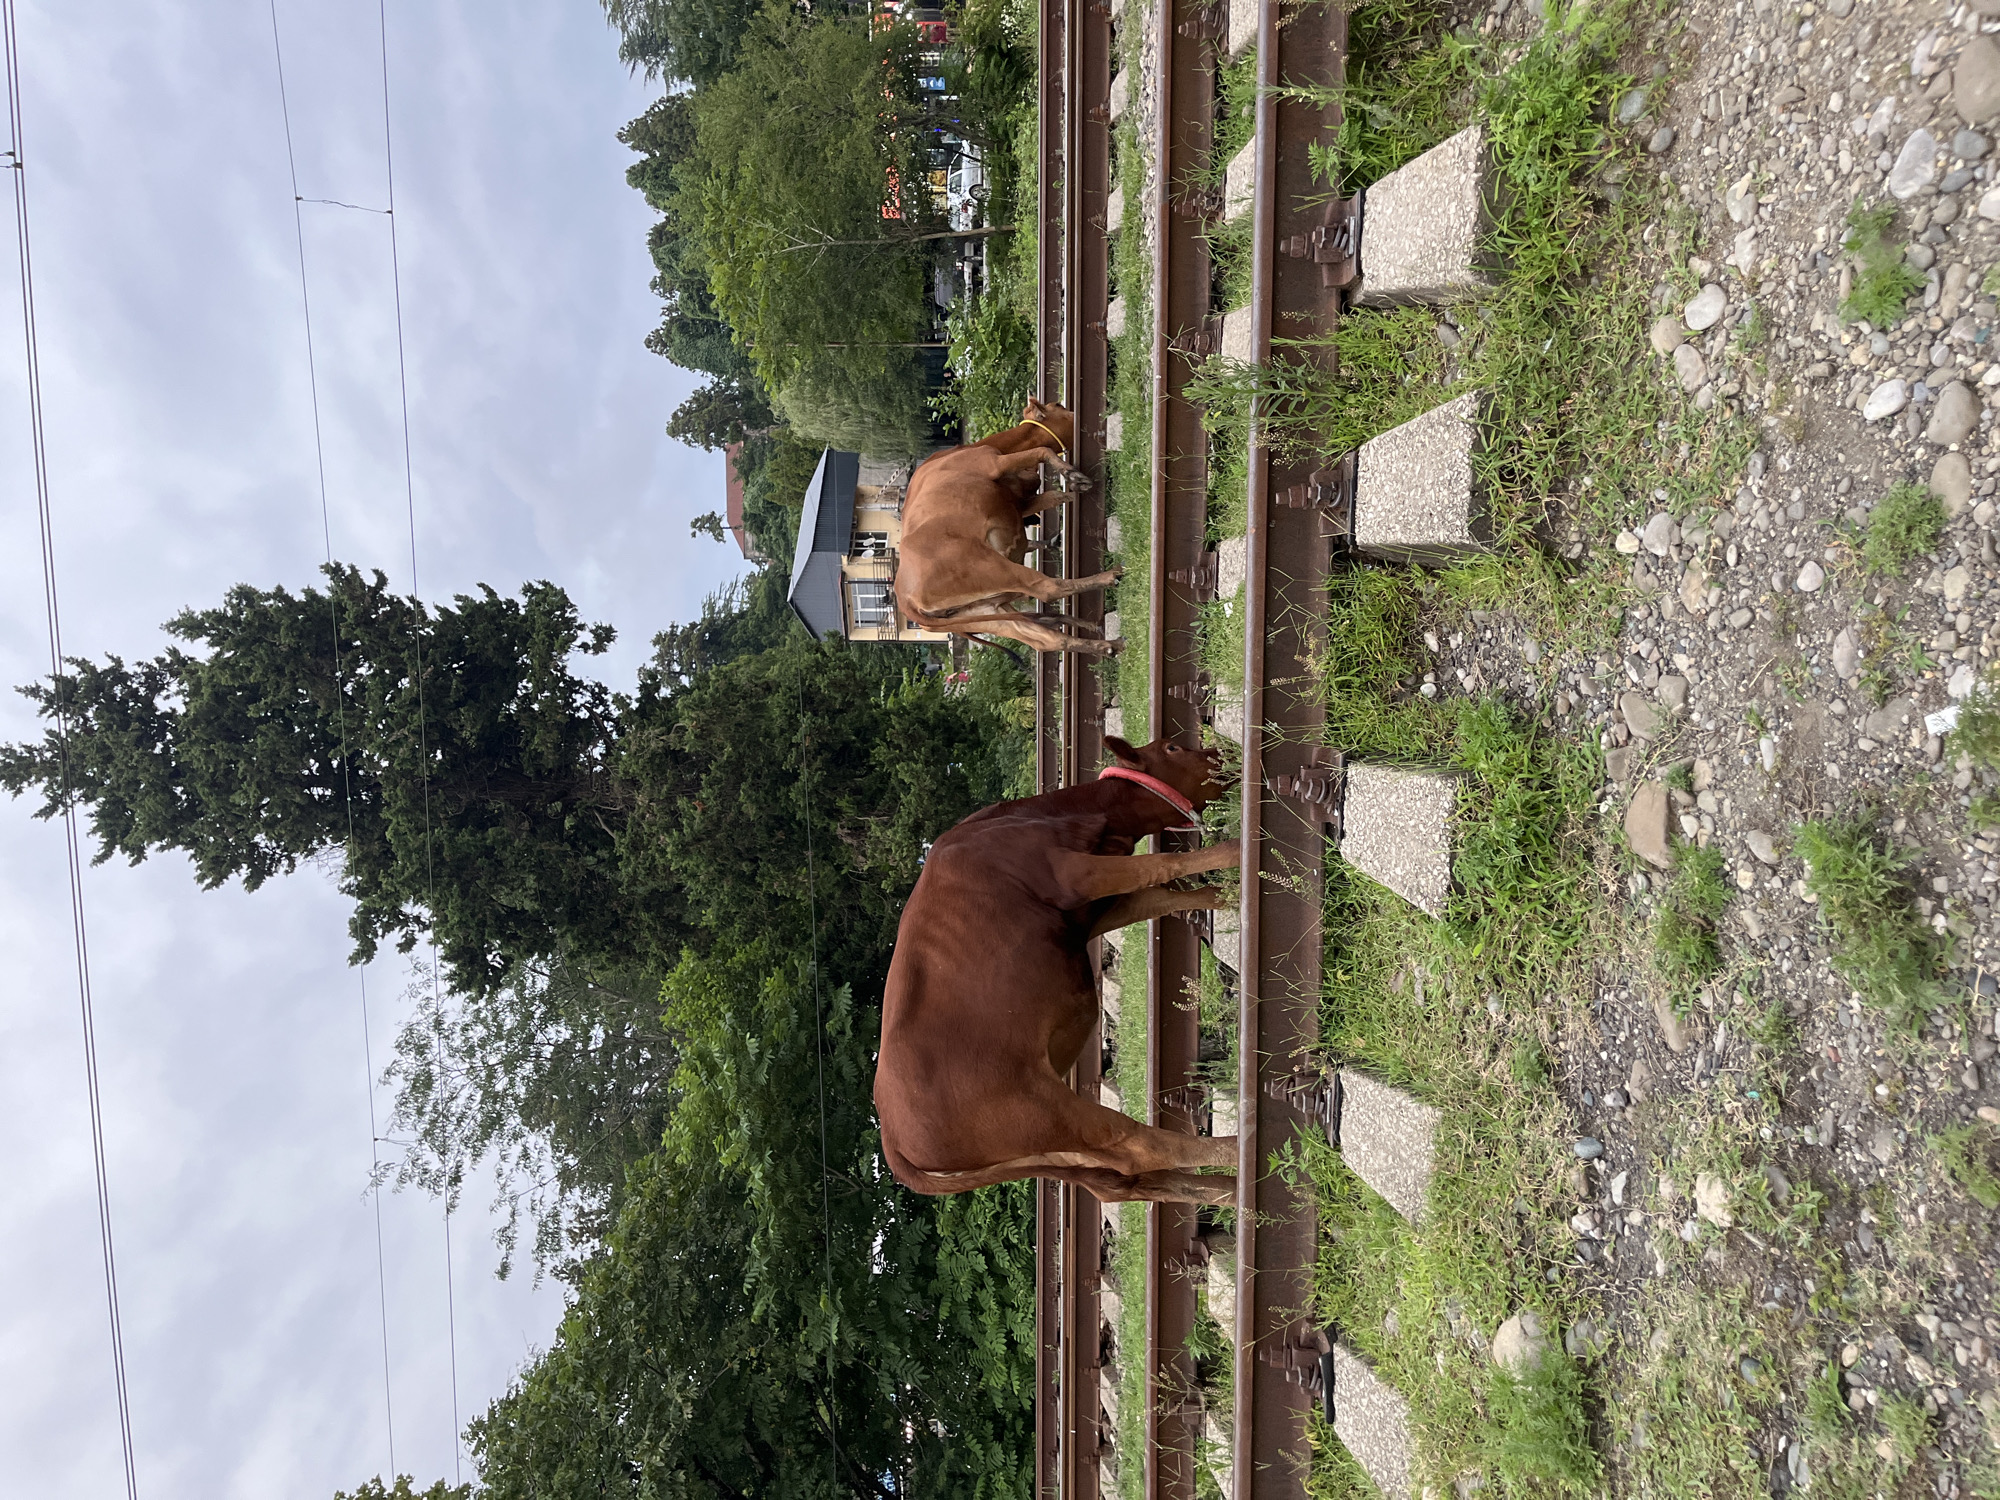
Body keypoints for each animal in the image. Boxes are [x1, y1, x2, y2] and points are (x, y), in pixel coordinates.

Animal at [874, 735, 1239, 1206]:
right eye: (1173, 748)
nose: (1224, 750)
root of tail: (893, 1143)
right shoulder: (1075, 874)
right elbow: (1165, 867)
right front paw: (1243, 852)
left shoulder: (1099, 907)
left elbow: (1170, 894)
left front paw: (1231, 897)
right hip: (1040, 1109)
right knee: (1139, 1148)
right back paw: (1240, 1151)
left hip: (1050, 1148)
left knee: (1122, 1180)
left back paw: (1230, 1195)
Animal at [892, 398, 1122, 657]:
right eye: (1059, 405)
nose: (1078, 415)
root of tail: (905, 600)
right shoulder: (995, 463)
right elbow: (1042, 451)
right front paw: (1072, 473)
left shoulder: (1019, 504)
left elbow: (1056, 496)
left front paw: (1077, 483)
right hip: (994, 568)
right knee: (1048, 588)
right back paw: (1110, 576)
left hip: (989, 612)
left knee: (1046, 640)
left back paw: (1111, 645)